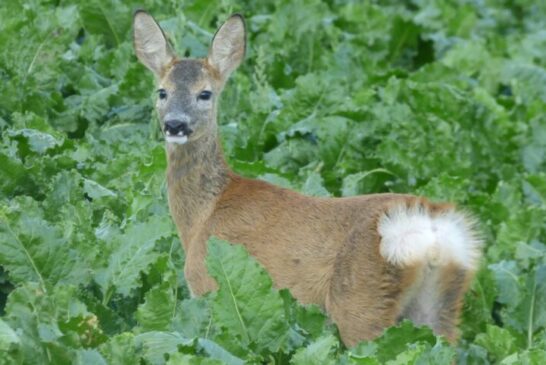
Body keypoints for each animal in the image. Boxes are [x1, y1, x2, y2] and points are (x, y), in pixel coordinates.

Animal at [133, 11, 480, 346]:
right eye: (162, 91)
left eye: (204, 94)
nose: (175, 125)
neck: (203, 216)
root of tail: (430, 228)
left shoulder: (206, 285)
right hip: (439, 305)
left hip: (361, 301)